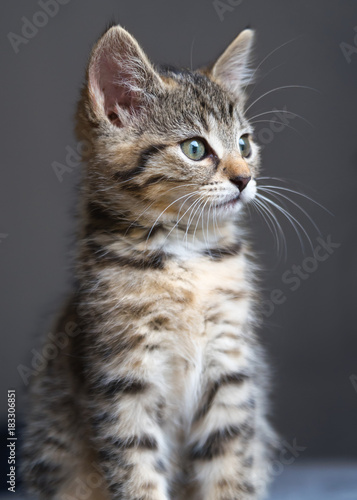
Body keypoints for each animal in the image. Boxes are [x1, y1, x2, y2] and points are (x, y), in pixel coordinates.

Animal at [21, 24, 278, 500]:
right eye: (195, 148)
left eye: (244, 144)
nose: (245, 178)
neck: (186, 253)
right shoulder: (122, 374)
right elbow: (136, 466)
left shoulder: (230, 366)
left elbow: (230, 459)